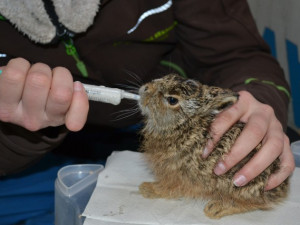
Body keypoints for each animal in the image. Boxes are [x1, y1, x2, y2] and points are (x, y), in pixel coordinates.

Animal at [137, 74, 290, 219]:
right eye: (167, 77)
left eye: (172, 100)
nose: (145, 89)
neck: (182, 125)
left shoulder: (176, 174)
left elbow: (167, 188)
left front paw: (148, 189)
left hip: (239, 184)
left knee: (254, 203)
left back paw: (215, 209)